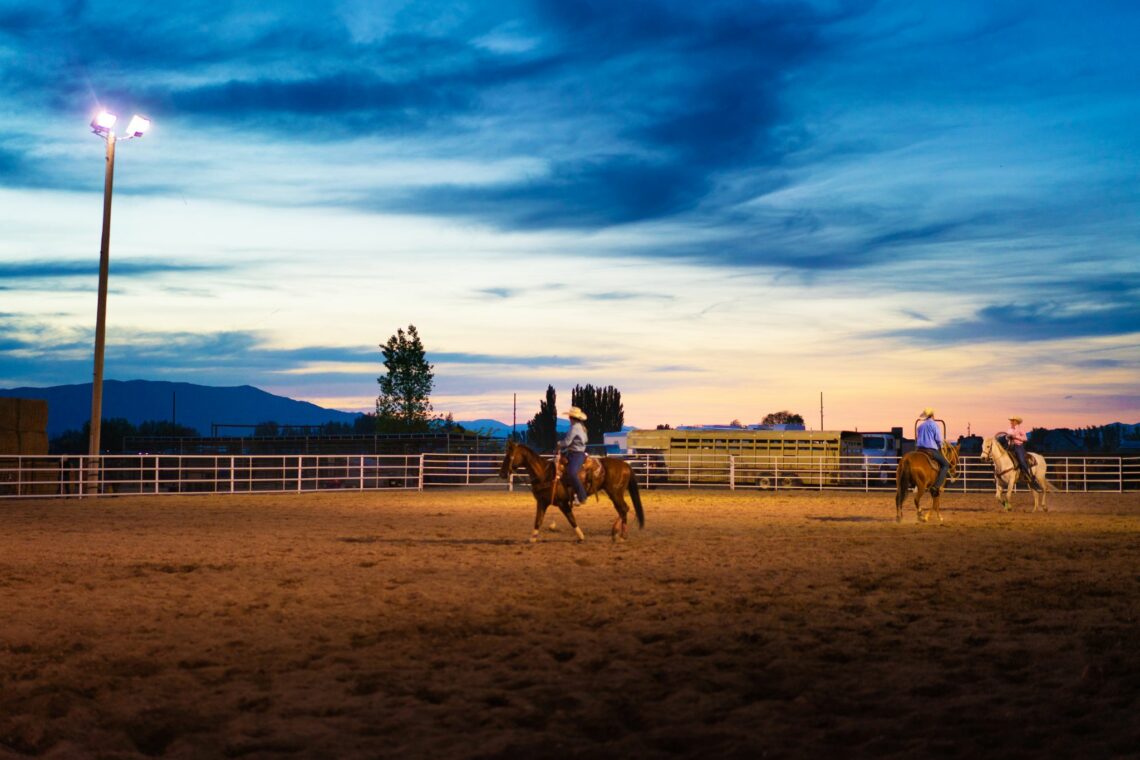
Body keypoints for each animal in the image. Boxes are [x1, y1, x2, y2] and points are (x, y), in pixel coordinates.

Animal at [497, 442, 647, 544]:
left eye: (509, 456)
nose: (502, 473)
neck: (546, 474)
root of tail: (626, 465)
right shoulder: (542, 502)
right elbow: (538, 520)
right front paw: (532, 538)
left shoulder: (563, 503)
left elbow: (571, 519)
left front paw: (581, 536)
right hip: (615, 493)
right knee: (623, 509)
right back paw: (617, 533)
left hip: (615, 493)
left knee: (623, 509)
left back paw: (620, 535)